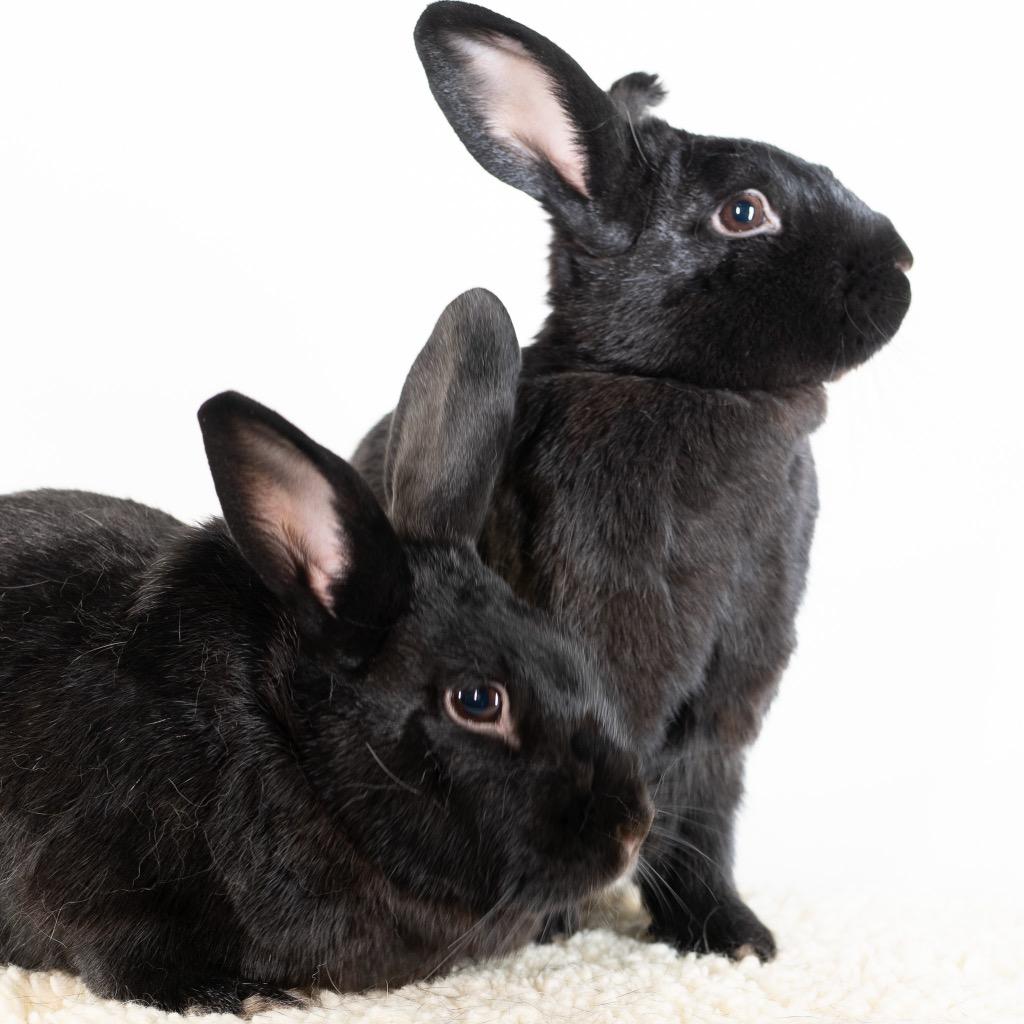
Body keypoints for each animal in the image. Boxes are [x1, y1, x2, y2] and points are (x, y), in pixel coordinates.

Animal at [0, 288, 653, 1015]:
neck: (285, 738)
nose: (634, 829)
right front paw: (244, 995)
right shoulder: (93, 878)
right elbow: (124, 959)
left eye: (569, 650)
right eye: (478, 700)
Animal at [353, 3, 913, 962]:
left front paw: (731, 936)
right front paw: (552, 928)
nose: (904, 265)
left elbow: (699, 811)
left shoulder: (733, 688)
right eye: (743, 211)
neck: (675, 383)